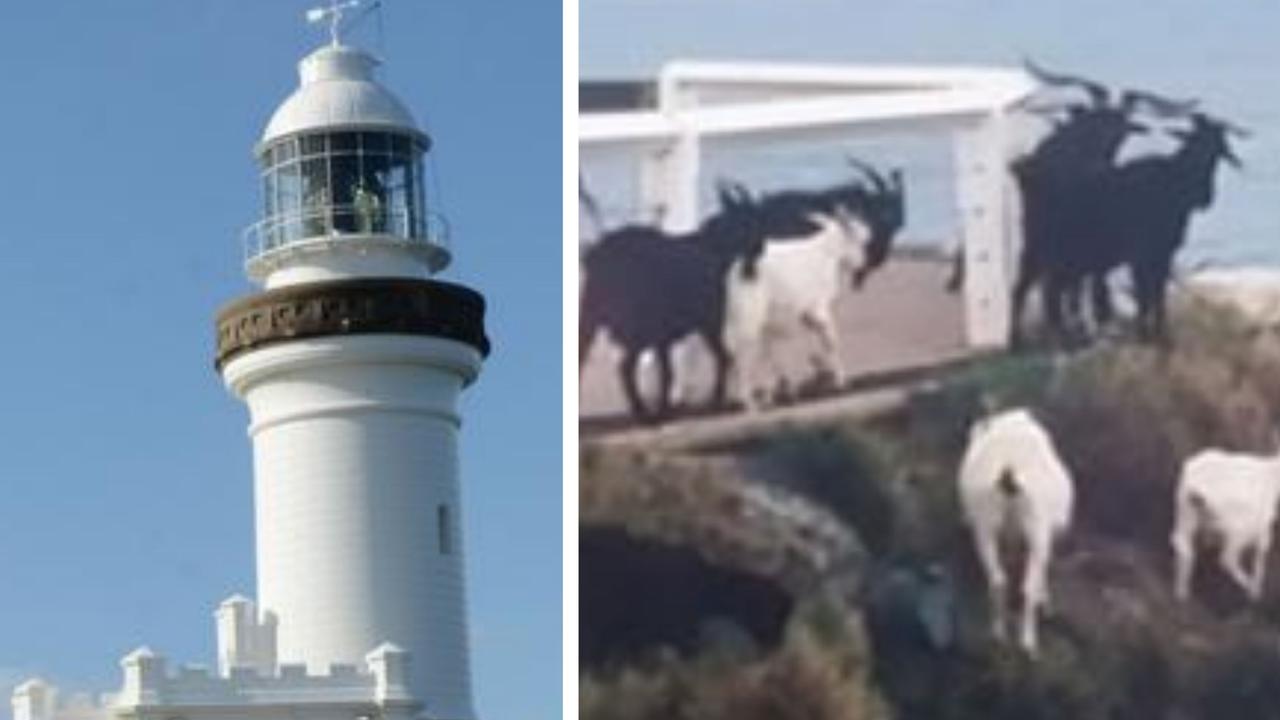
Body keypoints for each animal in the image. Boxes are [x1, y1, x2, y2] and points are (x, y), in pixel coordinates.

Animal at [581, 180, 768, 420]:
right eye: (750, 217)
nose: (760, 247)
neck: (712, 246)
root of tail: (596, 255)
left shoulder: (664, 337)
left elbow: (668, 372)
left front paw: (666, 410)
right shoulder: (709, 321)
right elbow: (721, 357)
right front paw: (713, 402)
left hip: (591, 316)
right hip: (636, 329)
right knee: (625, 368)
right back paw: (643, 414)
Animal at [962, 407, 1070, 653]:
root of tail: (1008, 476)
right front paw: (1046, 602)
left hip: (986, 526)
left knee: (998, 581)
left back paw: (998, 634)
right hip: (1036, 525)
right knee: (1027, 587)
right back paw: (1027, 644)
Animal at [1172, 443, 1280, 599]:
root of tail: (1196, 488)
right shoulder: (1261, 526)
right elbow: (1262, 553)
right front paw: (1255, 589)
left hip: (1185, 511)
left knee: (1182, 544)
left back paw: (1181, 591)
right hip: (1236, 530)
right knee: (1227, 559)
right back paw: (1249, 586)